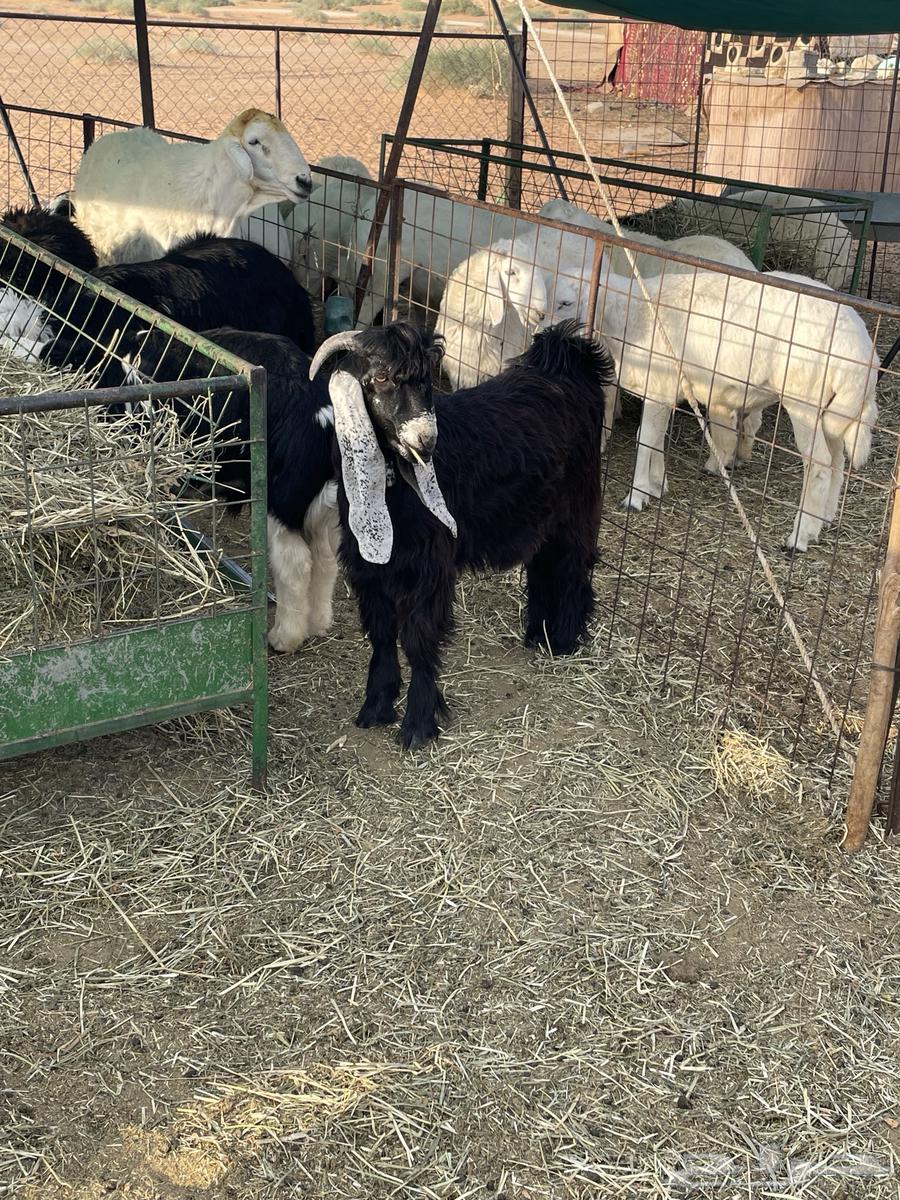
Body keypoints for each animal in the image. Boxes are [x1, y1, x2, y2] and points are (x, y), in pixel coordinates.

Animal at [118, 326, 340, 651]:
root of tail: (320, 419)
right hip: (322, 511)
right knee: (325, 559)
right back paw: (318, 624)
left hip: (281, 505)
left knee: (295, 565)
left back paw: (283, 638)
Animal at [309, 320, 614, 749]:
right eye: (379, 378)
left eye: (426, 380)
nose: (426, 440)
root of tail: (568, 362)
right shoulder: (367, 566)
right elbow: (381, 633)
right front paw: (376, 707)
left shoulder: (429, 567)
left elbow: (419, 640)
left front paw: (418, 725)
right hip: (541, 511)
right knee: (544, 564)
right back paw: (538, 635)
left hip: (578, 504)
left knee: (573, 565)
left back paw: (565, 639)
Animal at [544, 262, 879, 552]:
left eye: (565, 303)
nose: (541, 337)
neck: (630, 314)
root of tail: (863, 354)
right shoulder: (665, 391)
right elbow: (655, 439)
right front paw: (658, 484)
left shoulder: (658, 385)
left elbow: (645, 439)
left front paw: (637, 495)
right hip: (832, 410)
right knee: (836, 462)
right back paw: (822, 521)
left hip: (805, 399)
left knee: (820, 466)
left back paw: (799, 537)